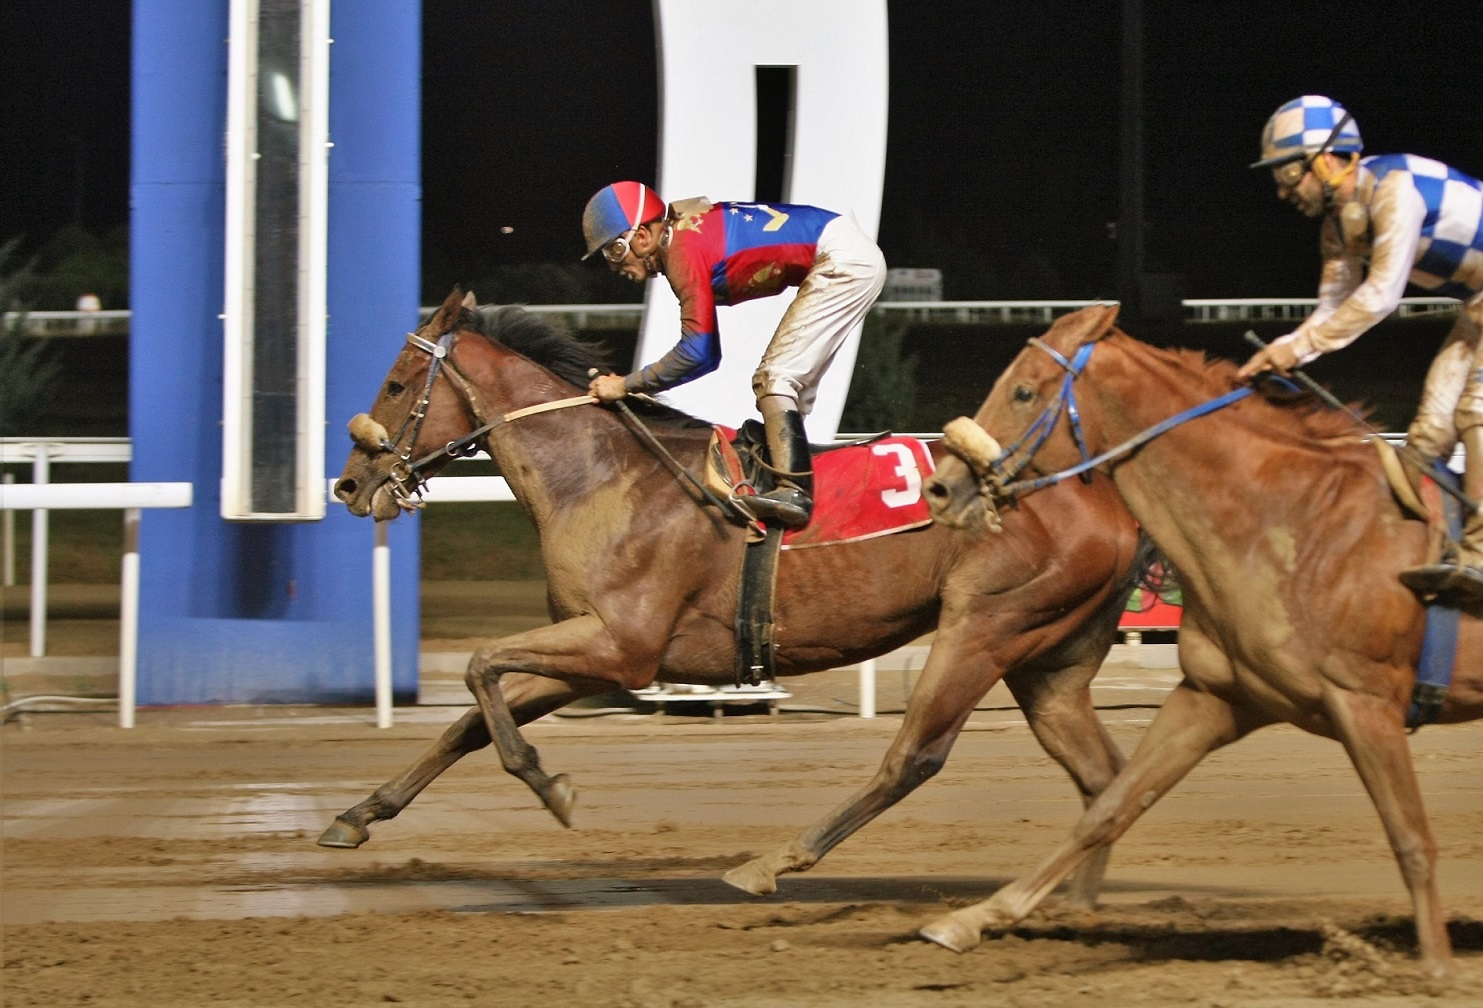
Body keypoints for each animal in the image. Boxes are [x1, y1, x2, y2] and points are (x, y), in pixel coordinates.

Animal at [321, 287, 1144, 901]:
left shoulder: (621, 645)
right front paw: (358, 814)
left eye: (396, 384)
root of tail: (1102, 494)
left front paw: (549, 785)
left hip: (985, 626)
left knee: (915, 757)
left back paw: (771, 864)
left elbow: (479, 666)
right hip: (1046, 654)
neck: (599, 474)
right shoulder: (590, 648)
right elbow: (469, 719)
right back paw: (1070, 899)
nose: (350, 484)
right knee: (1103, 776)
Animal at [925, 303, 1483, 978]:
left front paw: (1436, 969)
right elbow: (1109, 809)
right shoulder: (1217, 696)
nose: (940, 488)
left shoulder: (1365, 702)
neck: (1293, 521)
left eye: (1024, 390)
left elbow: (1410, 836)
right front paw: (971, 919)